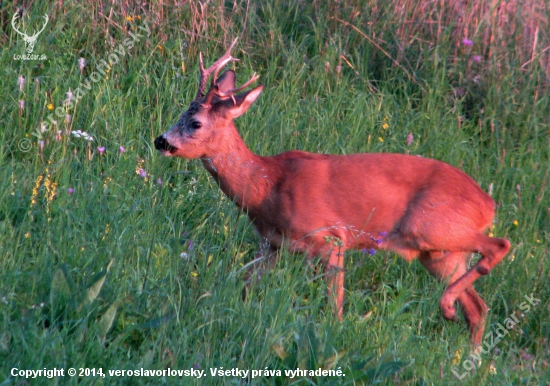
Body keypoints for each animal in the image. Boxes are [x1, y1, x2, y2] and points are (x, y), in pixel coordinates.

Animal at [155, 40, 512, 346]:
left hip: (429, 227)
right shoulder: (271, 245)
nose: (161, 141)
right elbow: (242, 286)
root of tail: (488, 204)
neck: (266, 186)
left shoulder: (330, 238)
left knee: (499, 246)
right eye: (180, 113)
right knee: (478, 309)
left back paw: (447, 307)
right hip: (440, 255)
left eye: (196, 123)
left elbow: (335, 306)